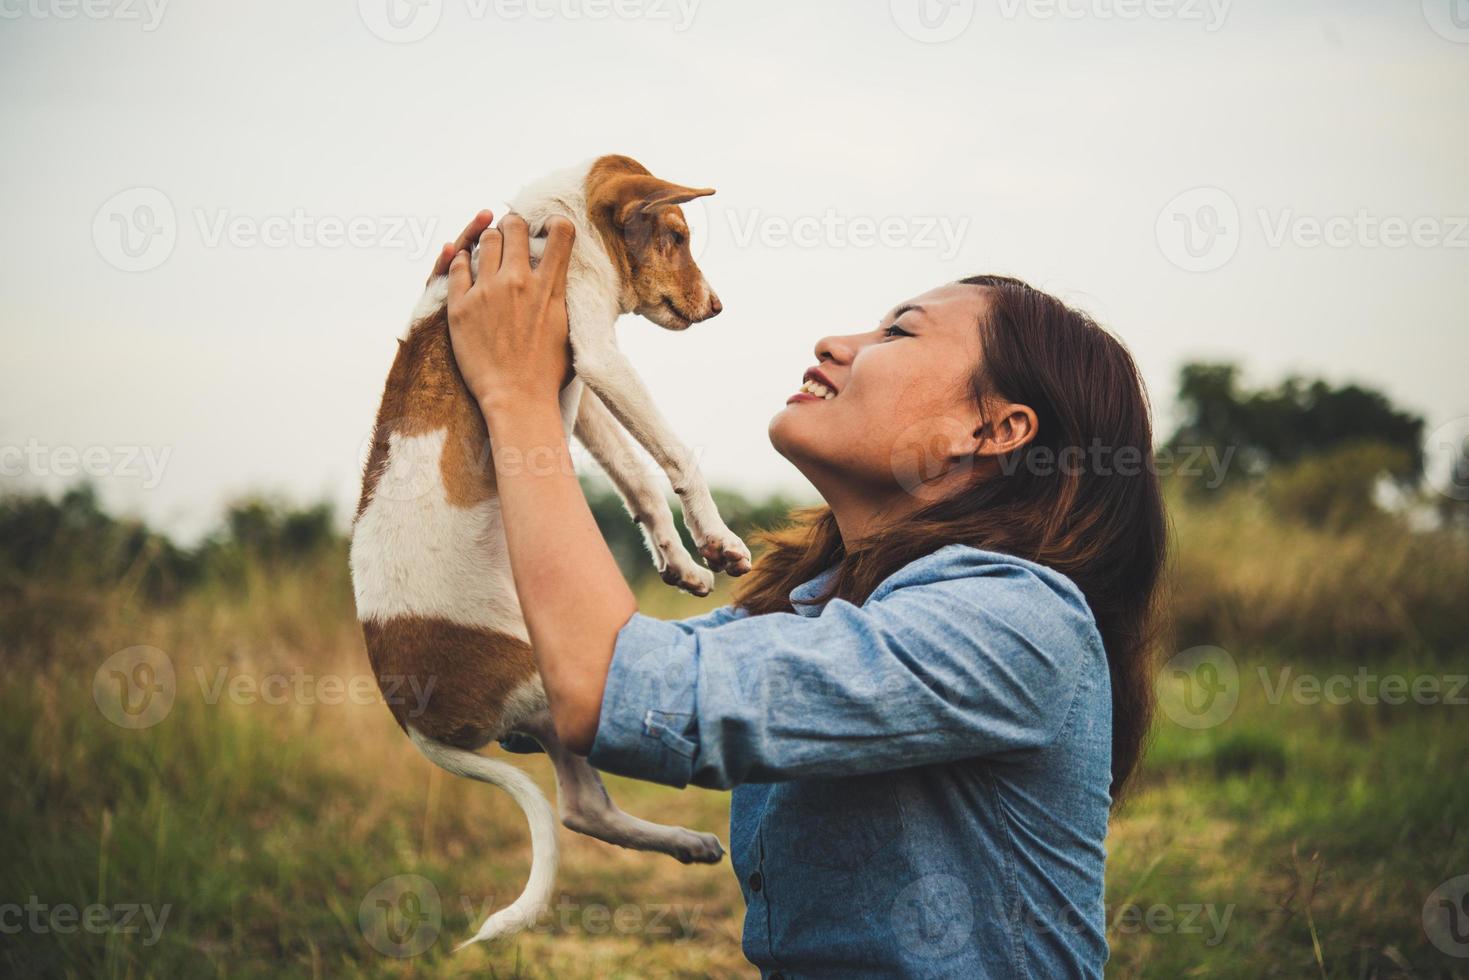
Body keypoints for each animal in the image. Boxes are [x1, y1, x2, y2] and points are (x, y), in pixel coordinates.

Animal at [349, 155, 752, 952]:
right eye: (678, 235)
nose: (719, 307)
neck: (550, 222)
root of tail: (410, 719)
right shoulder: (597, 353)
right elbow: (676, 457)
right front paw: (718, 539)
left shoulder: (576, 383)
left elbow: (637, 478)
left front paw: (682, 562)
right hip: (553, 666)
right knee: (579, 797)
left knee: (581, 809)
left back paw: (687, 844)